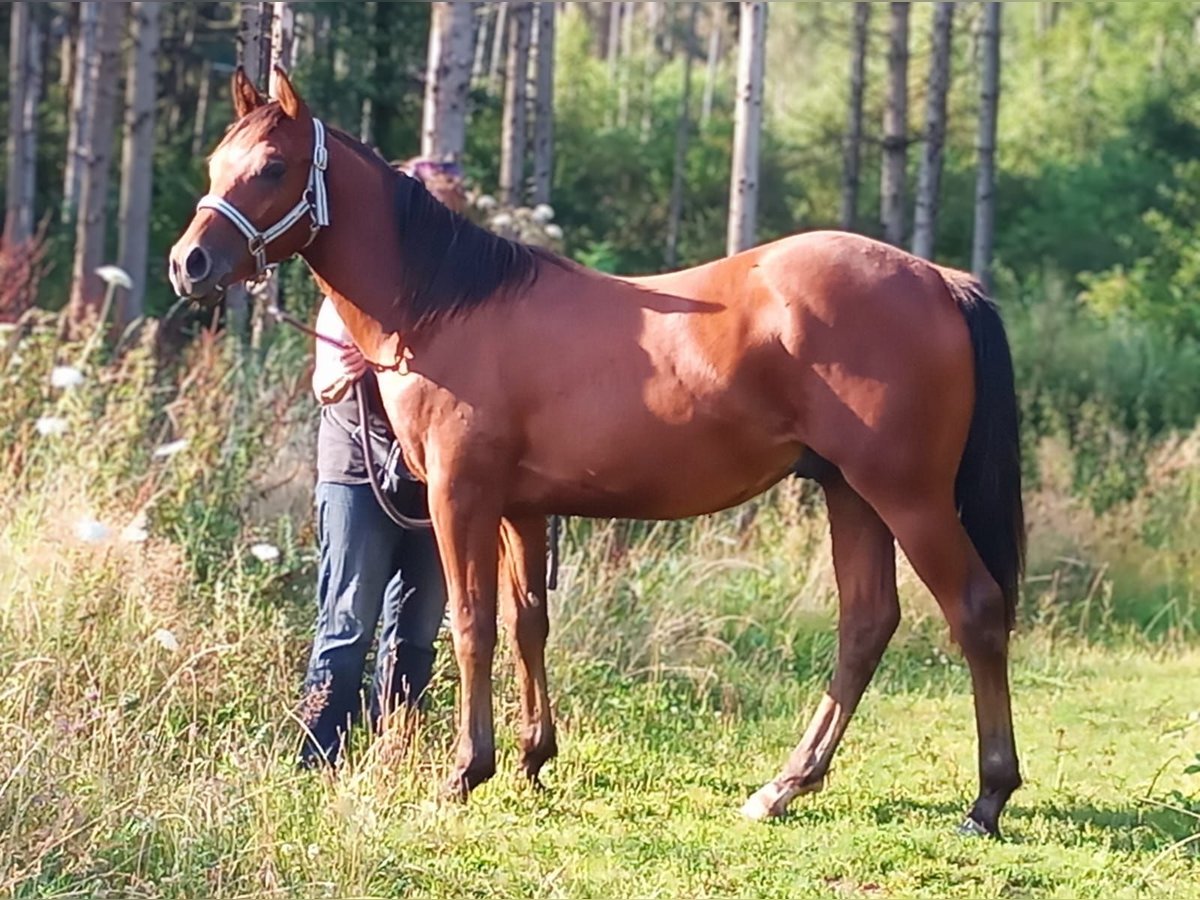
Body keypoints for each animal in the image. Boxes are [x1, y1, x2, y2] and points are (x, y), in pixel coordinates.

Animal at [169, 70, 1027, 840]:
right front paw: (531, 758)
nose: (189, 264)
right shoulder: (521, 509)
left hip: (906, 494)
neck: (446, 305)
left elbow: (472, 625)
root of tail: (938, 278)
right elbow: (528, 623)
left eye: (271, 168)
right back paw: (784, 787)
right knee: (866, 626)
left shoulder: (460, 495)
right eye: (214, 164)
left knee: (976, 611)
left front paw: (464, 772)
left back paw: (987, 799)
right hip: (850, 491)